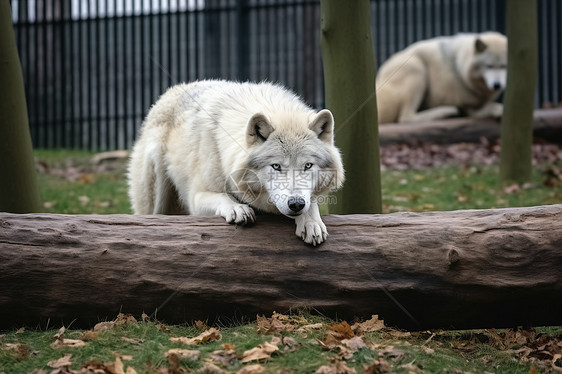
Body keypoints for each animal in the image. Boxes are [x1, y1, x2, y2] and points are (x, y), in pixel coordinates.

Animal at [127, 79, 344, 245]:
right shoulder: (196, 197)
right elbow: (222, 197)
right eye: (276, 166)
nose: (296, 204)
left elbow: (312, 202)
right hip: (155, 188)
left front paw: (311, 222)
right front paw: (237, 208)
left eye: (308, 166)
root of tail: (171, 91)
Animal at [374, 31, 506, 123]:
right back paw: (447, 112)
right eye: (489, 66)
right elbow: (486, 109)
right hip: (417, 68)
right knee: (406, 118)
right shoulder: (468, 104)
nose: (497, 85)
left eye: (504, 66)